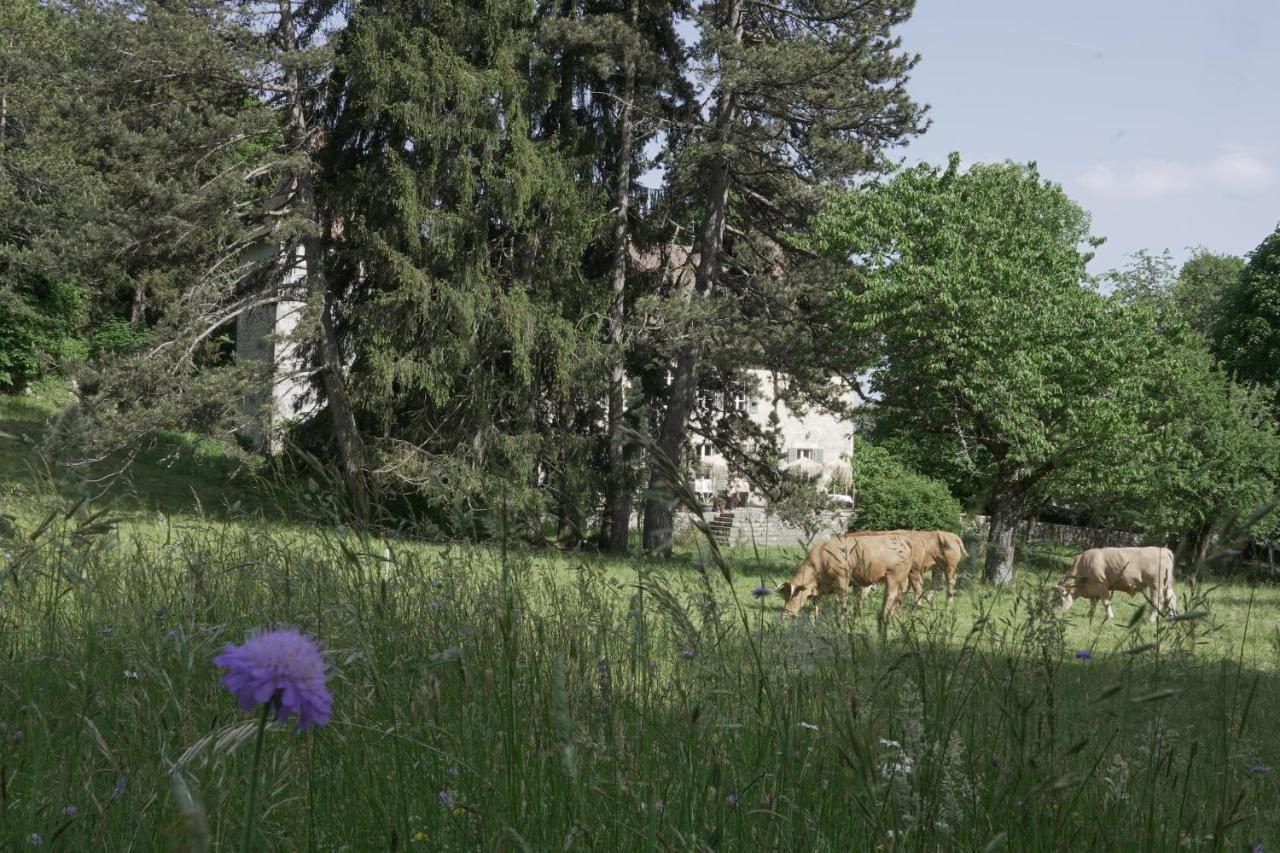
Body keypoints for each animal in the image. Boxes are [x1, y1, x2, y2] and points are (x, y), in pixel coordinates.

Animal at [773, 532, 916, 625]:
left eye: (793, 596)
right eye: (784, 597)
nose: (787, 611)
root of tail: (903, 539)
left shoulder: (842, 579)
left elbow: (843, 601)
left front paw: (842, 619)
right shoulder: (817, 587)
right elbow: (816, 604)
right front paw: (816, 620)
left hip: (893, 576)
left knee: (890, 595)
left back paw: (885, 617)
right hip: (902, 579)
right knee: (900, 594)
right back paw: (894, 615)